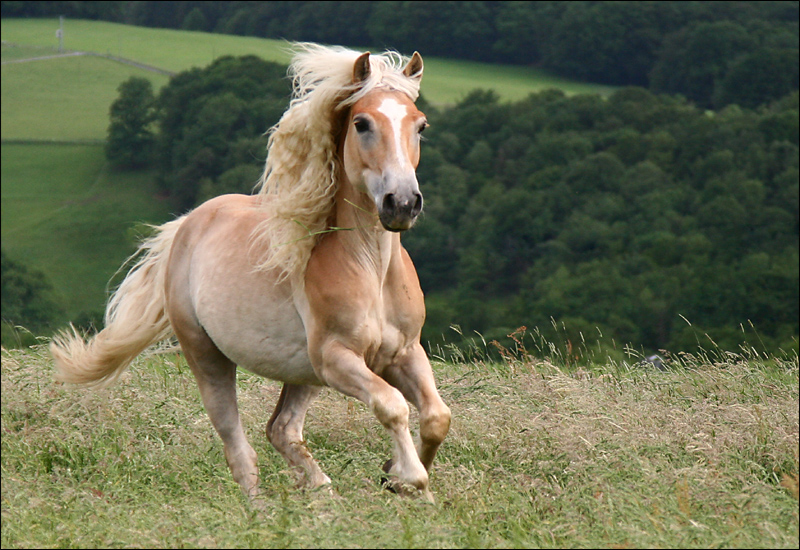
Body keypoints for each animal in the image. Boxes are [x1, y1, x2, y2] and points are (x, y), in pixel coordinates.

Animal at [50, 44, 450, 504]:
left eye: (420, 125)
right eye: (362, 123)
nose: (401, 203)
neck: (370, 268)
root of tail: (188, 224)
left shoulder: (404, 352)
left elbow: (437, 416)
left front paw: (394, 476)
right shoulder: (337, 358)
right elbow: (393, 406)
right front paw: (412, 479)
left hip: (303, 373)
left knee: (282, 430)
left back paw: (319, 491)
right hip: (210, 356)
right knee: (238, 445)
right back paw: (260, 506)